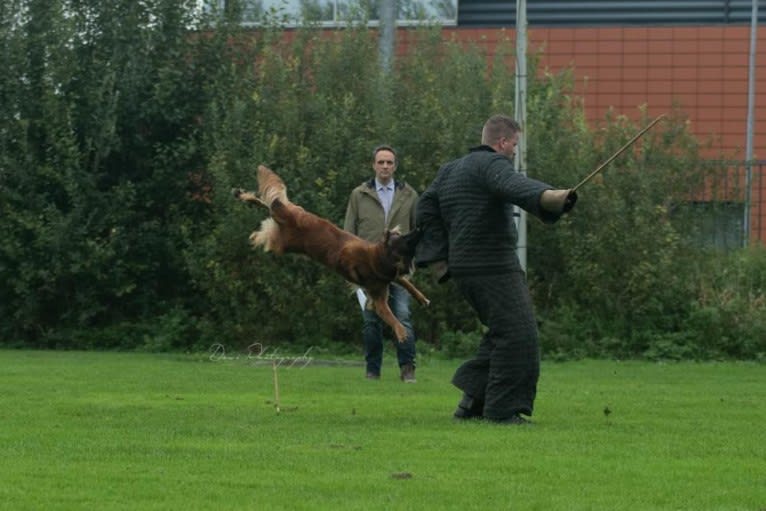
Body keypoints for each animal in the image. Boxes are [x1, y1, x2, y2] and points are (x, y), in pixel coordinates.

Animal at [234, 166, 428, 342]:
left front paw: (422, 299)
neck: (377, 256)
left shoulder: (392, 276)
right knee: (271, 203)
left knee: (269, 204)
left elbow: (407, 284)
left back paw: (248, 204)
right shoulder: (378, 299)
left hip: (285, 228)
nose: (419, 228)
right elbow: (391, 316)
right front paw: (402, 332)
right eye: (406, 239)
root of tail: (291, 218)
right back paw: (245, 201)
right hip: (282, 235)